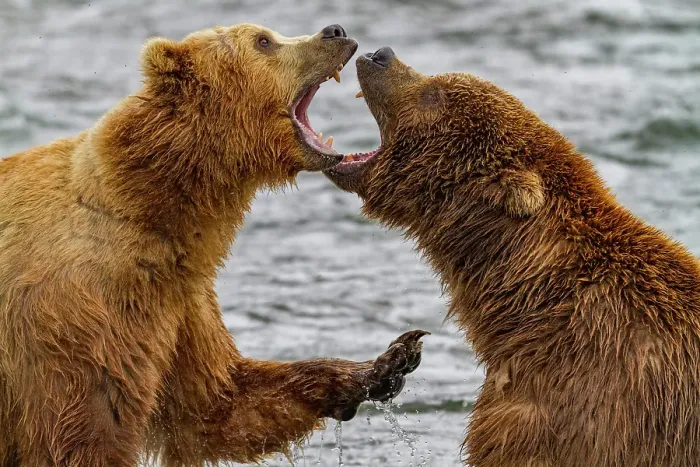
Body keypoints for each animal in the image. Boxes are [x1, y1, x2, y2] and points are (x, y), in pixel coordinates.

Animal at [0, 26, 428, 467]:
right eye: (263, 40)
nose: (335, 32)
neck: (151, 207)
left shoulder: (179, 301)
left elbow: (217, 402)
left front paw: (387, 363)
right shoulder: (74, 313)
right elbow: (83, 433)